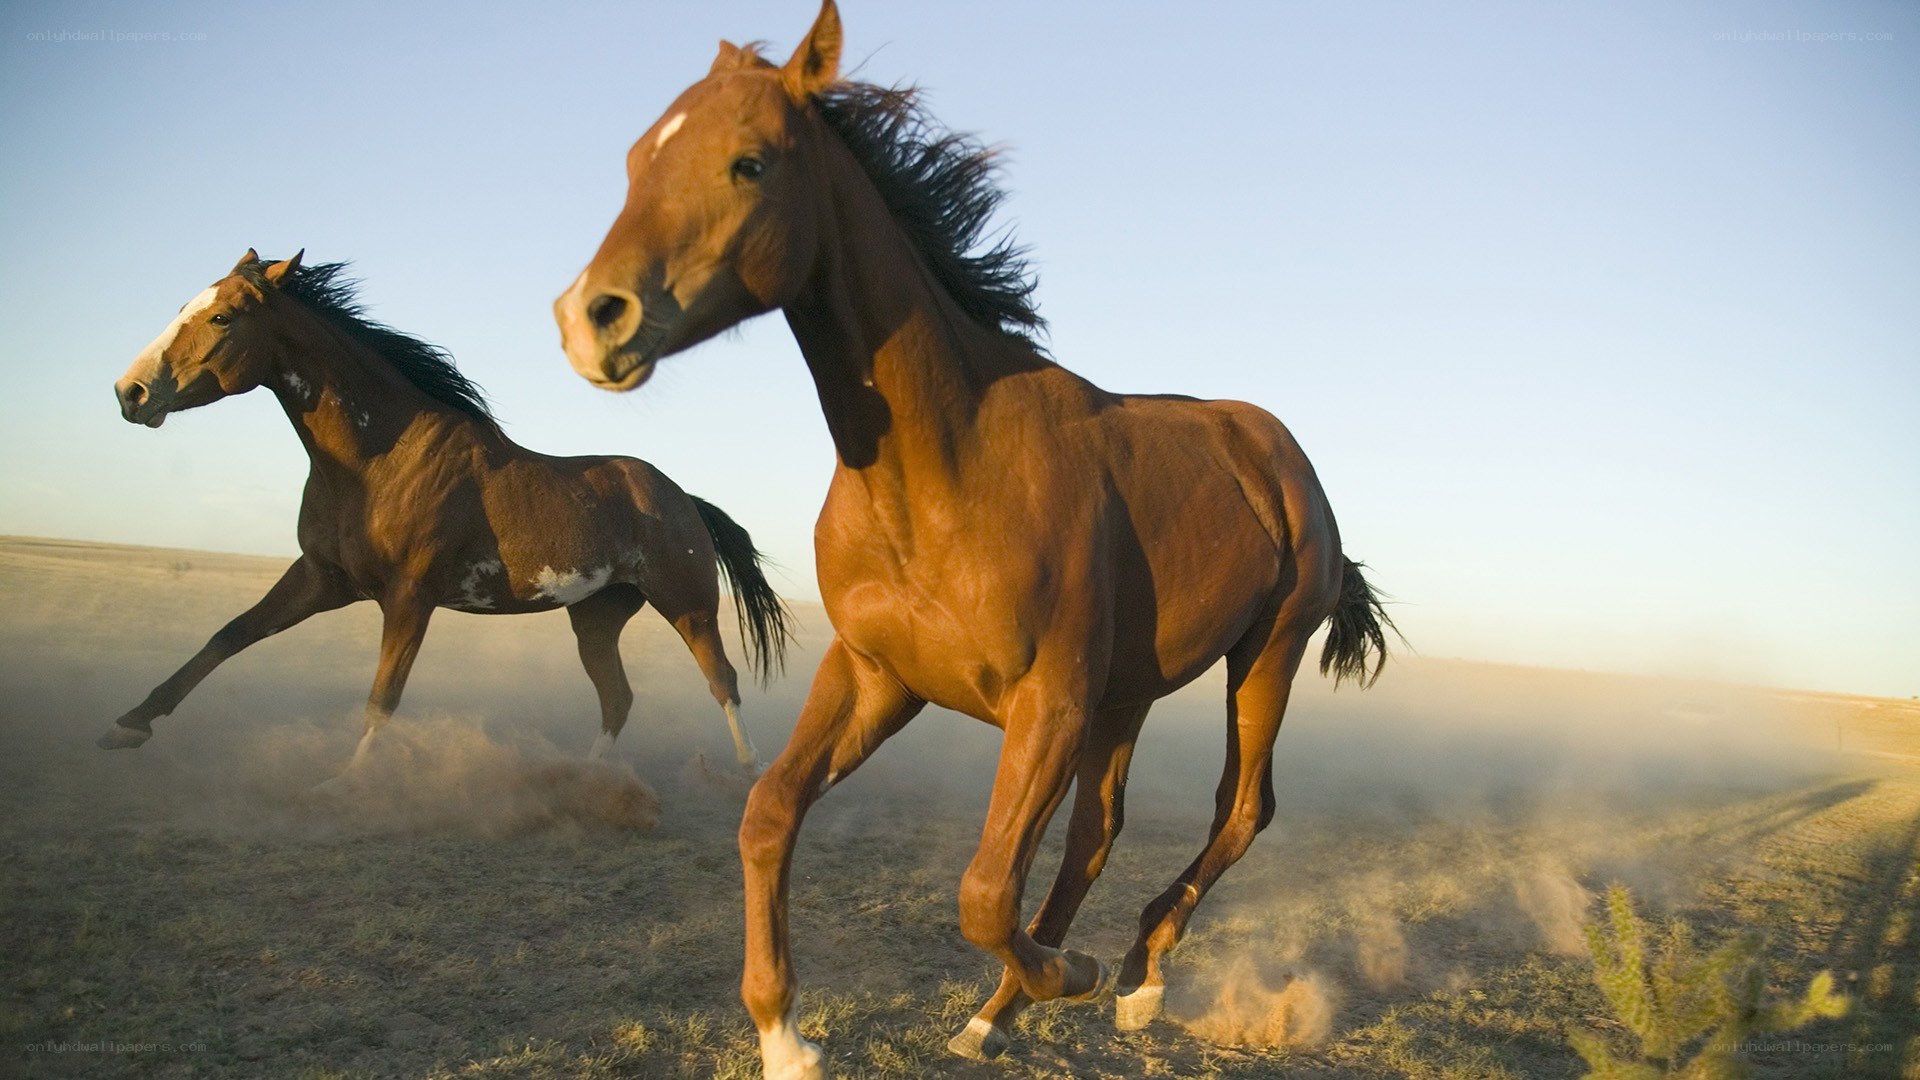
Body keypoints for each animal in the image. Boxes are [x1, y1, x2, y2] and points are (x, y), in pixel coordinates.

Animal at [102, 250, 792, 789]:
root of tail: (684, 499)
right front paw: (127, 726)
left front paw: (345, 783)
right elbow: (228, 636)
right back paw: (586, 779)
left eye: (222, 316)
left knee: (722, 680)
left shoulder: (409, 596)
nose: (130, 392)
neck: (379, 458)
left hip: (687, 604)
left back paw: (751, 773)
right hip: (596, 617)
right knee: (617, 698)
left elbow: (383, 698)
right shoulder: (323, 578)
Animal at [553, 4, 1394, 1076]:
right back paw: (1004, 1012)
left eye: (750, 162)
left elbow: (986, 892)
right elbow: (771, 812)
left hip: (1265, 655)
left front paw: (1071, 973)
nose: (591, 318)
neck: (945, 469)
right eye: (633, 160)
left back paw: (1134, 976)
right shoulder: (877, 673)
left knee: (1238, 811)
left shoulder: (1046, 705)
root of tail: (1280, 456)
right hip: (1127, 693)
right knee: (1096, 833)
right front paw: (786, 1037)